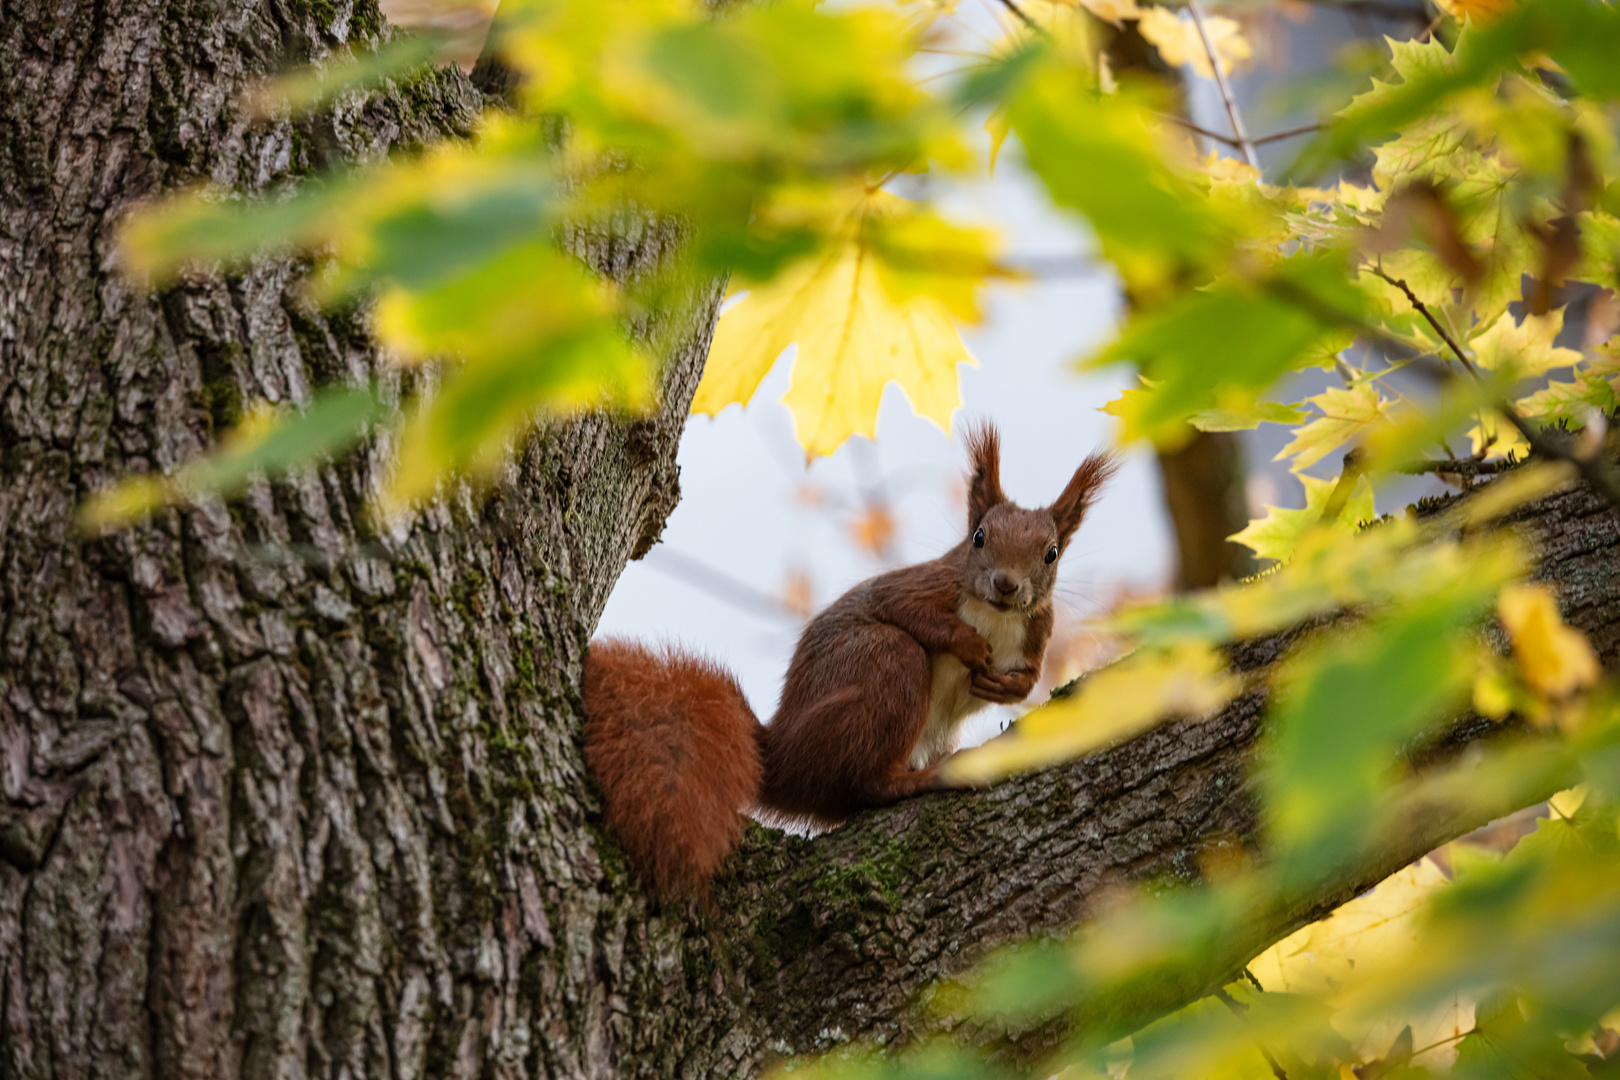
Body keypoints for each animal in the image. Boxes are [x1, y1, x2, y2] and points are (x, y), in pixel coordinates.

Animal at [579, 427, 1114, 900]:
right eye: (979, 537)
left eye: (1051, 554)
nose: (1006, 584)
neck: (997, 616)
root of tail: (781, 757)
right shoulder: (922, 584)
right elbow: (904, 607)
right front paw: (965, 641)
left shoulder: (1037, 633)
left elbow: (1029, 679)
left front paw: (1008, 688)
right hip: (887, 665)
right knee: (871, 780)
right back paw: (926, 777)